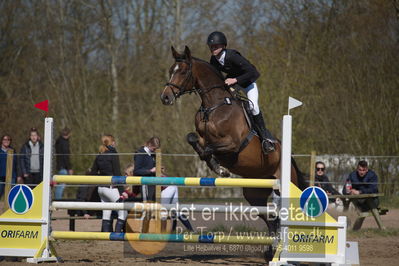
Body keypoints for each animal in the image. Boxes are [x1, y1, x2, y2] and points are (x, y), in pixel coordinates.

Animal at [159, 45, 306, 243]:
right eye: (170, 70)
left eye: (182, 71)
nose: (165, 97)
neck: (214, 106)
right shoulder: (202, 137)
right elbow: (193, 140)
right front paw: (218, 168)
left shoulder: (233, 145)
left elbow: (209, 150)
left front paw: (220, 169)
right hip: (254, 192)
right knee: (269, 218)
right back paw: (272, 244)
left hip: (286, 183)